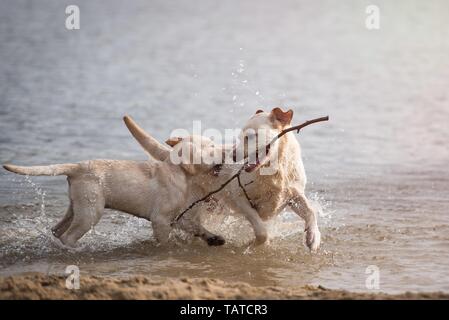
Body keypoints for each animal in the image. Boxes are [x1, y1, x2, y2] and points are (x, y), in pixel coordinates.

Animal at [3, 134, 226, 246]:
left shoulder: (178, 217)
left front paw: (214, 238)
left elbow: (197, 227)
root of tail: (77, 167)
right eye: (211, 148)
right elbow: (165, 241)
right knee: (68, 237)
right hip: (91, 212)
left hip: (76, 206)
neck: (178, 171)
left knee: (57, 230)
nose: (227, 153)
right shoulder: (160, 219)